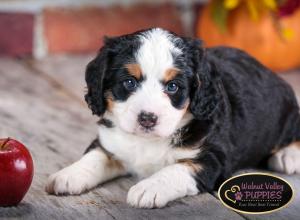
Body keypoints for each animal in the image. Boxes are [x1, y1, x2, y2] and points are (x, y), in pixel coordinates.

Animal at [45, 27, 300, 208]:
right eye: (129, 82)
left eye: (173, 87)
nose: (147, 118)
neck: (147, 141)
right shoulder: (111, 142)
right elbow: (94, 157)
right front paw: (68, 175)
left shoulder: (211, 159)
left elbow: (175, 169)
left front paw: (149, 187)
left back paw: (288, 155)